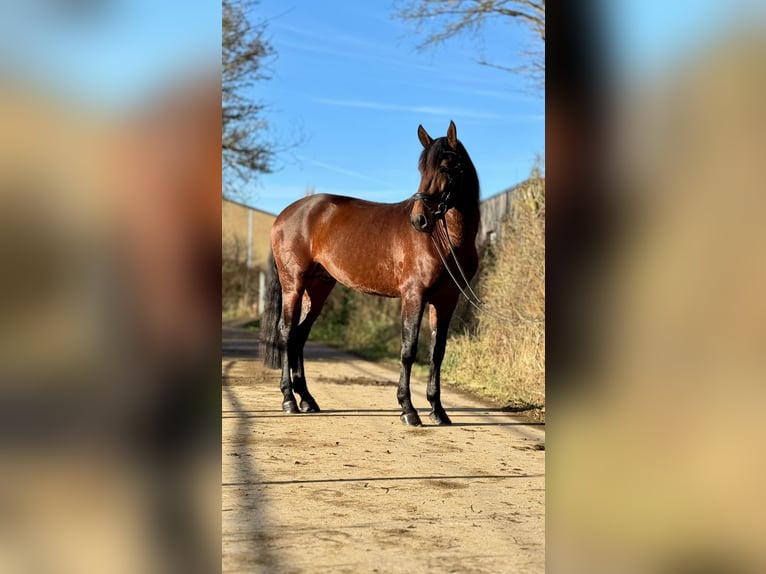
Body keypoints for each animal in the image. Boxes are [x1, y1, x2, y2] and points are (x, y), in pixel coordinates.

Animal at [264, 121, 480, 428]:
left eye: (447, 168)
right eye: (422, 169)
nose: (419, 220)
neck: (443, 239)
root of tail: (284, 215)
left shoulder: (446, 300)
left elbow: (437, 353)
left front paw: (438, 411)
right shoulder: (414, 296)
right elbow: (408, 349)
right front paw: (408, 410)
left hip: (317, 288)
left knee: (299, 336)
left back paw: (307, 399)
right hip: (293, 285)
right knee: (285, 333)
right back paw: (289, 401)